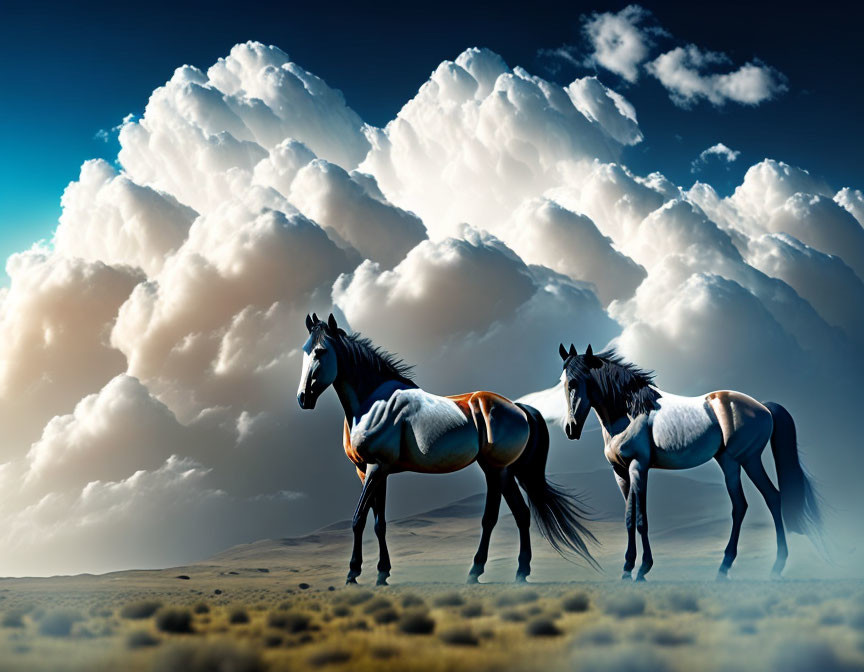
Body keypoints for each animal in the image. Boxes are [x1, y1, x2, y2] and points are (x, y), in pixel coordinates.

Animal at [294, 312, 596, 584]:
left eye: (320, 351)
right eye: (305, 351)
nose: (303, 398)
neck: (373, 404)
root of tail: (520, 408)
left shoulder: (375, 468)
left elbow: (358, 519)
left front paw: (353, 574)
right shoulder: (371, 471)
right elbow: (378, 524)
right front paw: (382, 573)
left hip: (496, 470)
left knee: (494, 517)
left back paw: (478, 572)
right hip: (506, 472)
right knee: (521, 514)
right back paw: (519, 573)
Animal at [556, 344, 820, 580]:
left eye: (575, 382)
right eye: (563, 382)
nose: (571, 429)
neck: (629, 412)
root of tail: (763, 407)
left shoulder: (638, 467)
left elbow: (640, 519)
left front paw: (640, 569)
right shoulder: (620, 473)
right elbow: (630, 518)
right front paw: (631, 568)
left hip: (747, 459)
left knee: (767, 498)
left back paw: (773, 566)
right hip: (730, 462)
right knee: (747, 504)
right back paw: (730, 567)